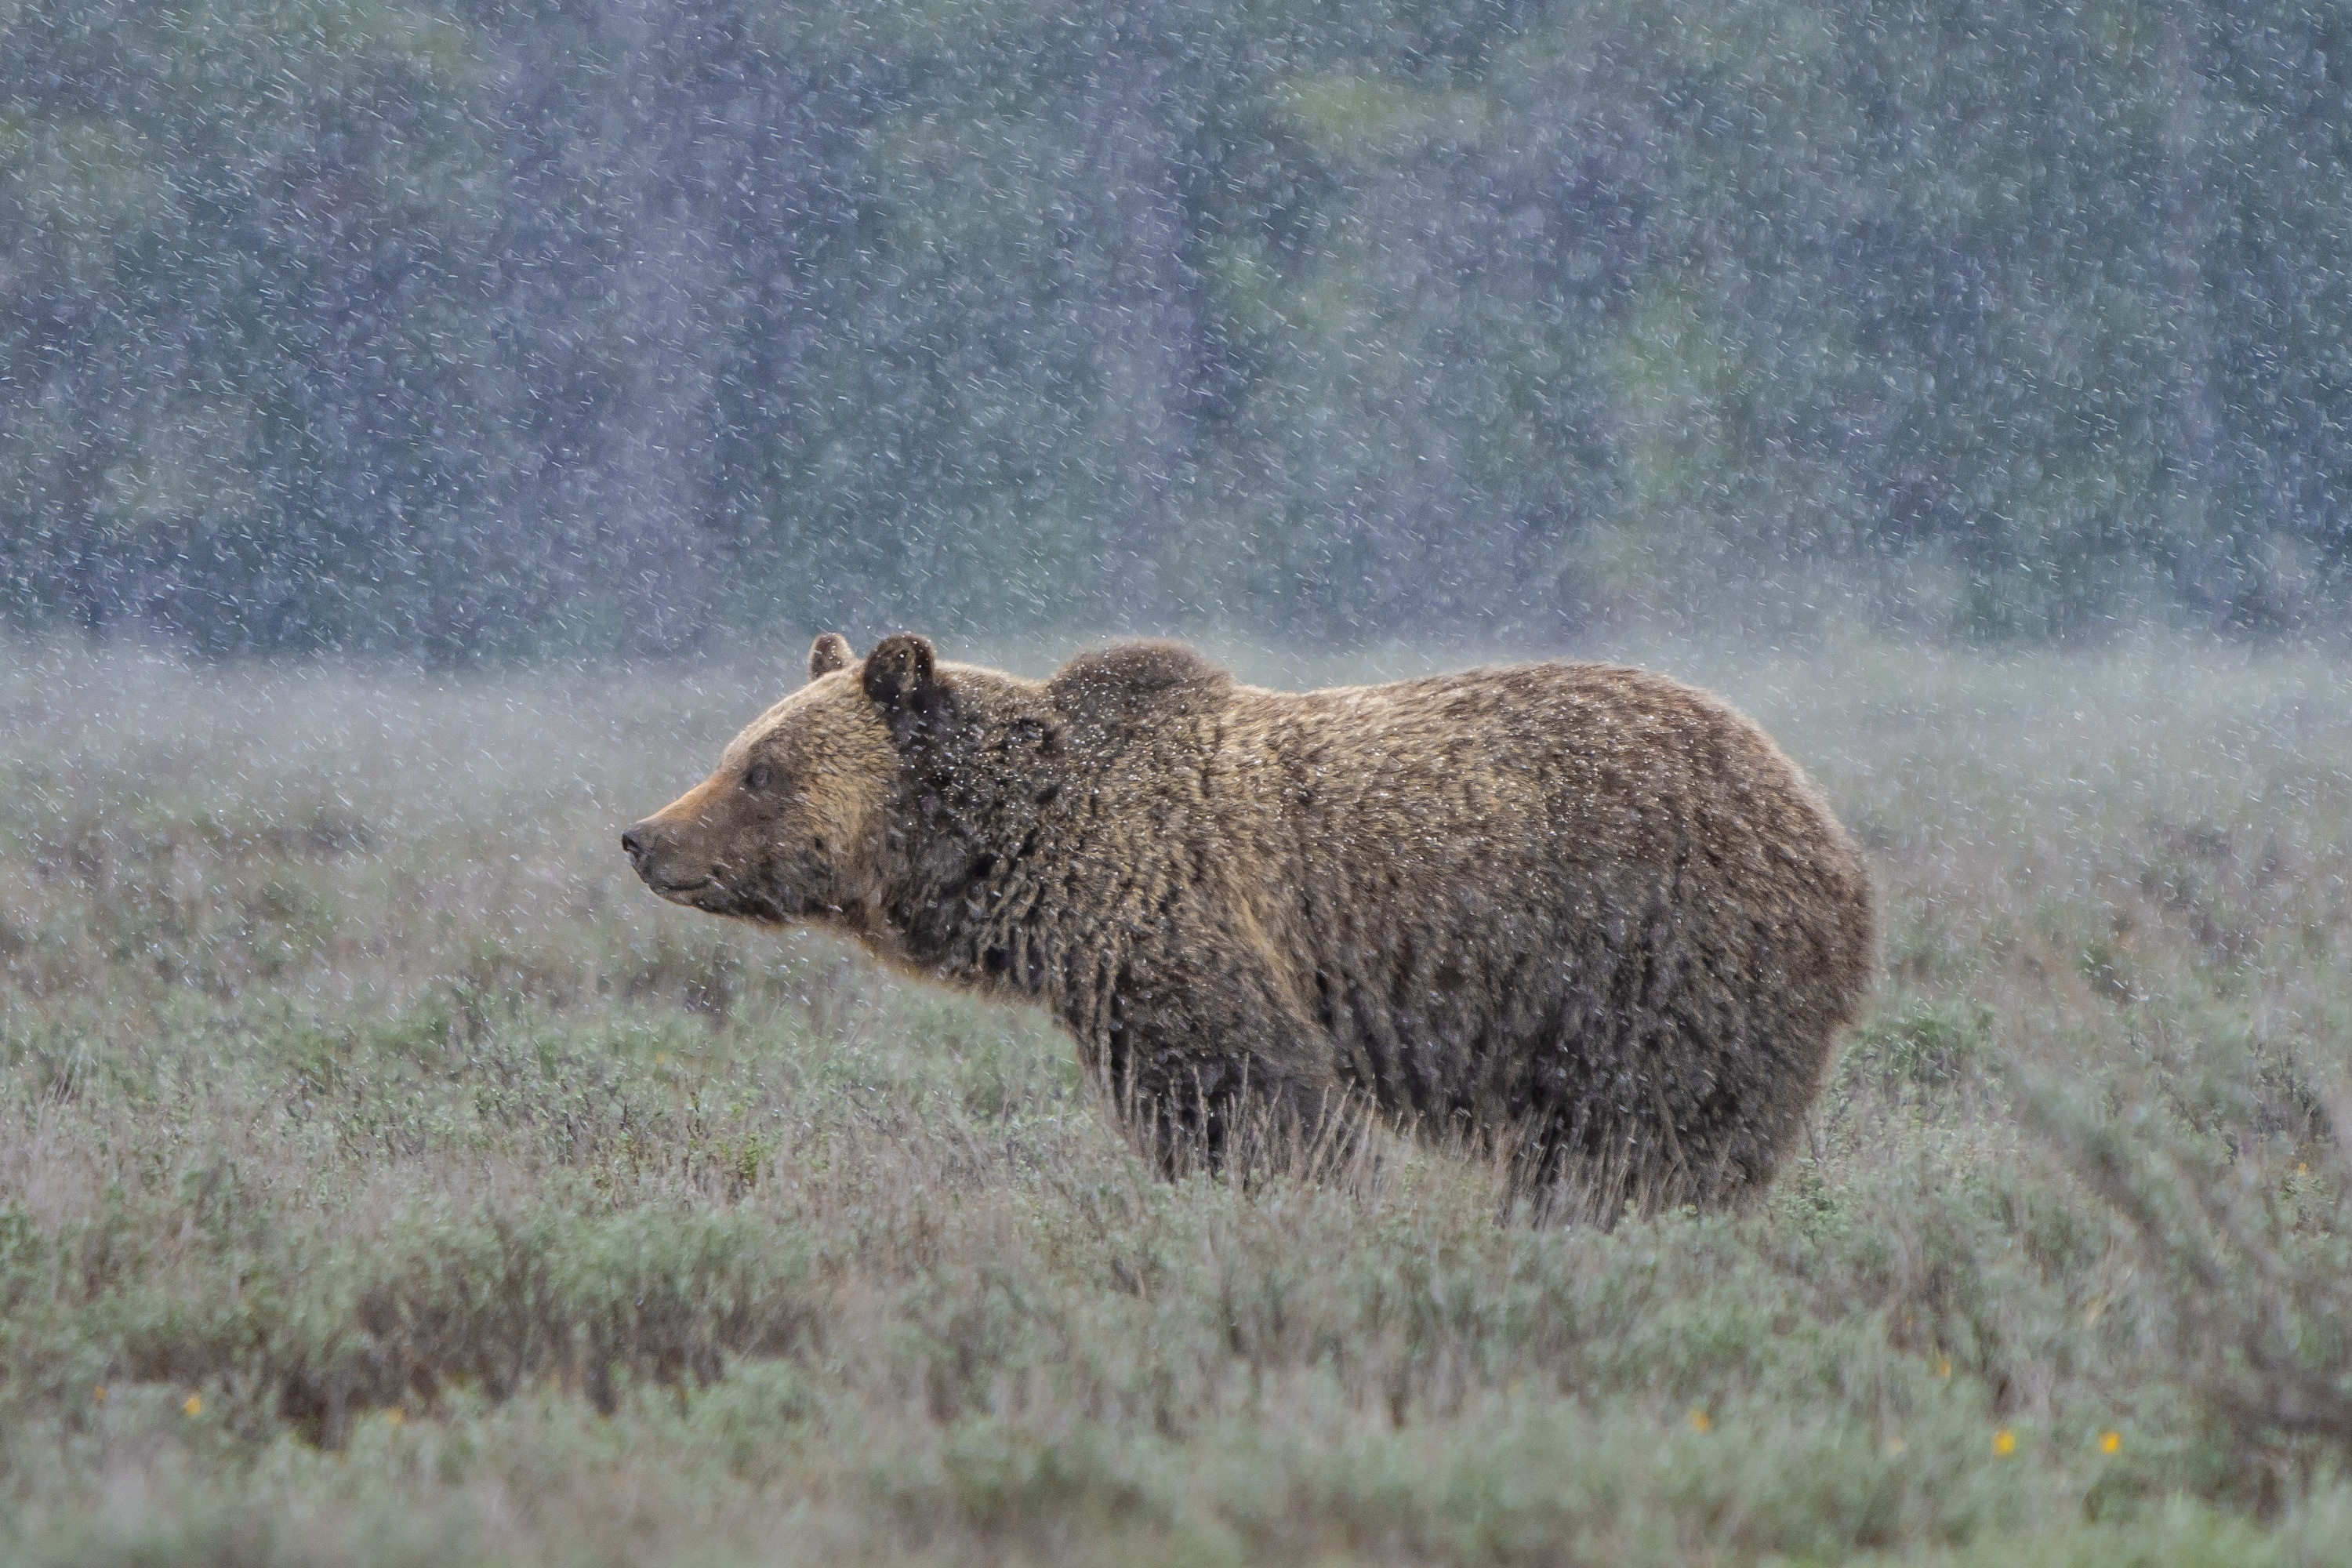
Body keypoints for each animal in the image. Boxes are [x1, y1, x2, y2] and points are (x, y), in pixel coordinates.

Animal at [626, 639, 1872, 1213]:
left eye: (760, 769)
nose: (644, 834)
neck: (1037, 852)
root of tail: (1832, 836)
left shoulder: (1181, 925)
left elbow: (1248, 1100)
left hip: (1654, 953)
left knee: (1643, 1134)